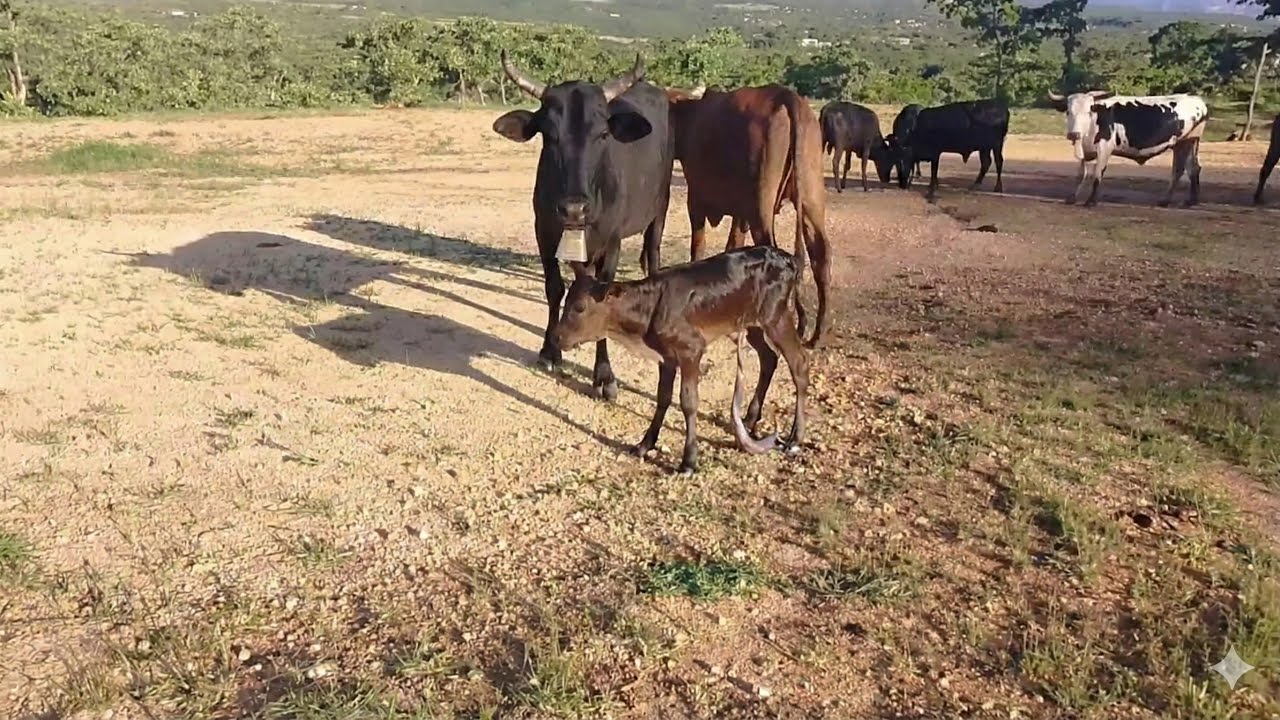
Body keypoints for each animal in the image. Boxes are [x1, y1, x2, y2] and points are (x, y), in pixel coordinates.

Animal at [491, 50, 675, 402]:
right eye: (549, 135)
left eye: (602, 134)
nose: (574, 209)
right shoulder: (545, 233)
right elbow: (555, 288)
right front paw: (550, 351)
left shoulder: (613, 242)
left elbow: (603, 297)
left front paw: (603, 376)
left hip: (660, 208)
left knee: (654, 253)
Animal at [549, 244, 809, 475]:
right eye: (566, 301)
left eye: (580, 307)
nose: (556, 337)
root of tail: (789, 259)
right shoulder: (666, 358)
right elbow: (663, 397)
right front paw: (644, 445)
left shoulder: (691, 349)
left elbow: (688, 402)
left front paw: (688, 462)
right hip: (752, 322)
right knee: (769, 357)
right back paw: (750, 419)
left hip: (776, 316)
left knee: (799, 363)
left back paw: (795, 438)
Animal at [664, 83, 831, 349]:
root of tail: (785, 96)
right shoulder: (740, 212)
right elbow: (733, 245)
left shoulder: (696, 200)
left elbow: (697, 248)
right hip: (810, 197)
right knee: (820, 256)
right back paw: (817, 334)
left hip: (761, 209)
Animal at [1047, 90, 1209, 208]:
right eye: (1068, 112)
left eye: (1088, 112)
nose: (1074, 134)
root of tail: (1196, 100)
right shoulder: (1086, 152)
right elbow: (1080, 174)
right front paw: (1072, 198)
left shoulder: (1104, 148)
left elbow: (1097, 175)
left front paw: (1091, 201)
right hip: (1181, 144)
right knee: (1186, 169)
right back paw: (1174, 201)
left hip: (1190, 140)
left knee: (1188, 168)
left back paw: (1187, 201)